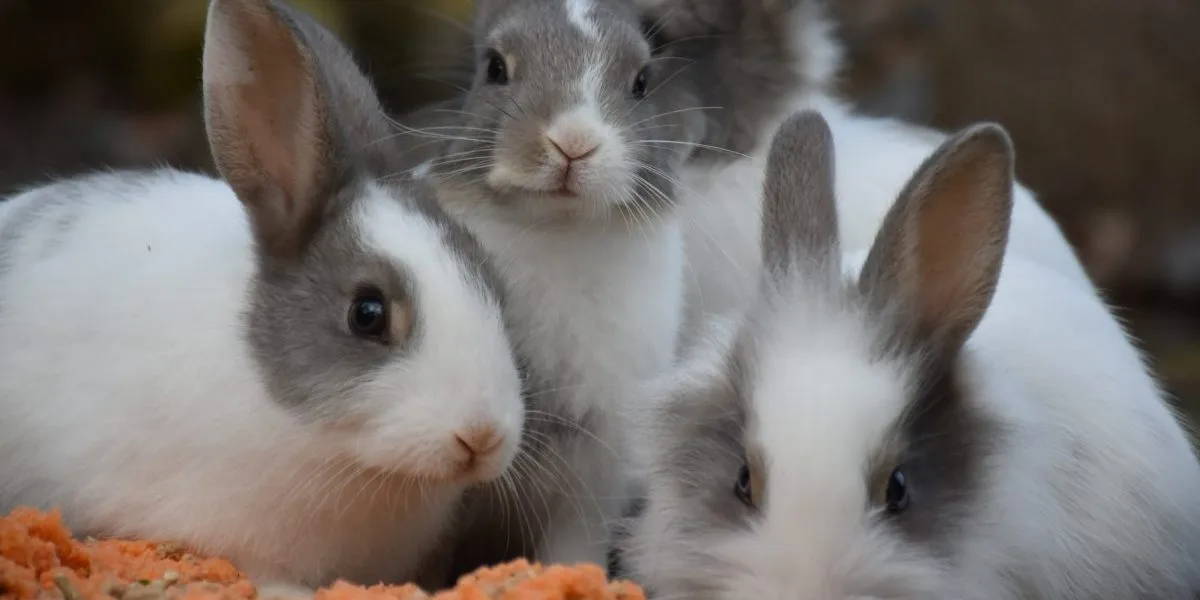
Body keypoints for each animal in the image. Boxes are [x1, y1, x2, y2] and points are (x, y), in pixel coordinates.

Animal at [398, 0, 709, 580]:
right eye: (495, 68)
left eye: (641, 82)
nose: (573, 142)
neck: (558, 226)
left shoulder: (592, 476)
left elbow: (571, 548)